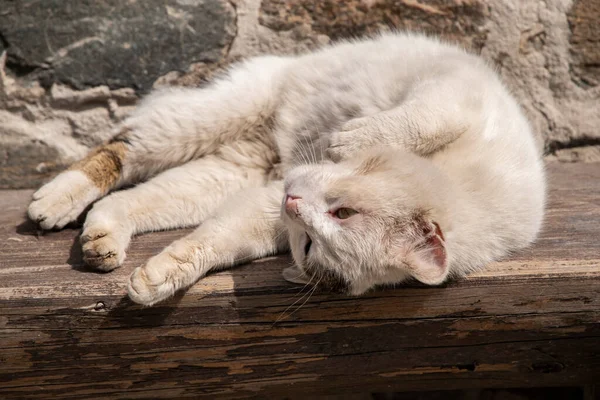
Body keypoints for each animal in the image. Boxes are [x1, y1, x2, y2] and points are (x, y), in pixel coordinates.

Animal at [27, 32, 544, 304]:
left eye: (308, 244)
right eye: (344, 212)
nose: (292, 201)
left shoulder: (264, 210)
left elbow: (214, 243)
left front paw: (160, 279)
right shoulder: (456, 93)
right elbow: (422, 119)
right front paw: (349, 138)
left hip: (226, 174)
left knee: (131, 198)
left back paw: (103, 239)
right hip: (215, 113)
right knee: (119, 147)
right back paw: (55, 200)